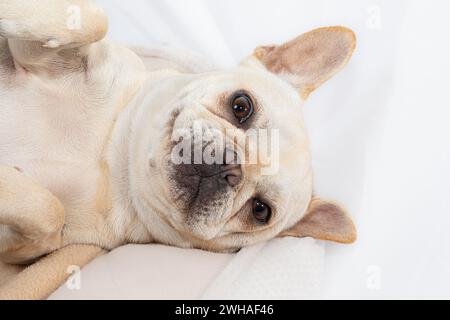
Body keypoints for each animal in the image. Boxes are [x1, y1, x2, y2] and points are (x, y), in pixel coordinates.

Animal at [0, 0, 358, 264]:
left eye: (260, 211)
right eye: (241, 105)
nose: (228, 166)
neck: (112, 154)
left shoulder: (31, 248)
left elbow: (49, 213)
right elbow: (92, 20)